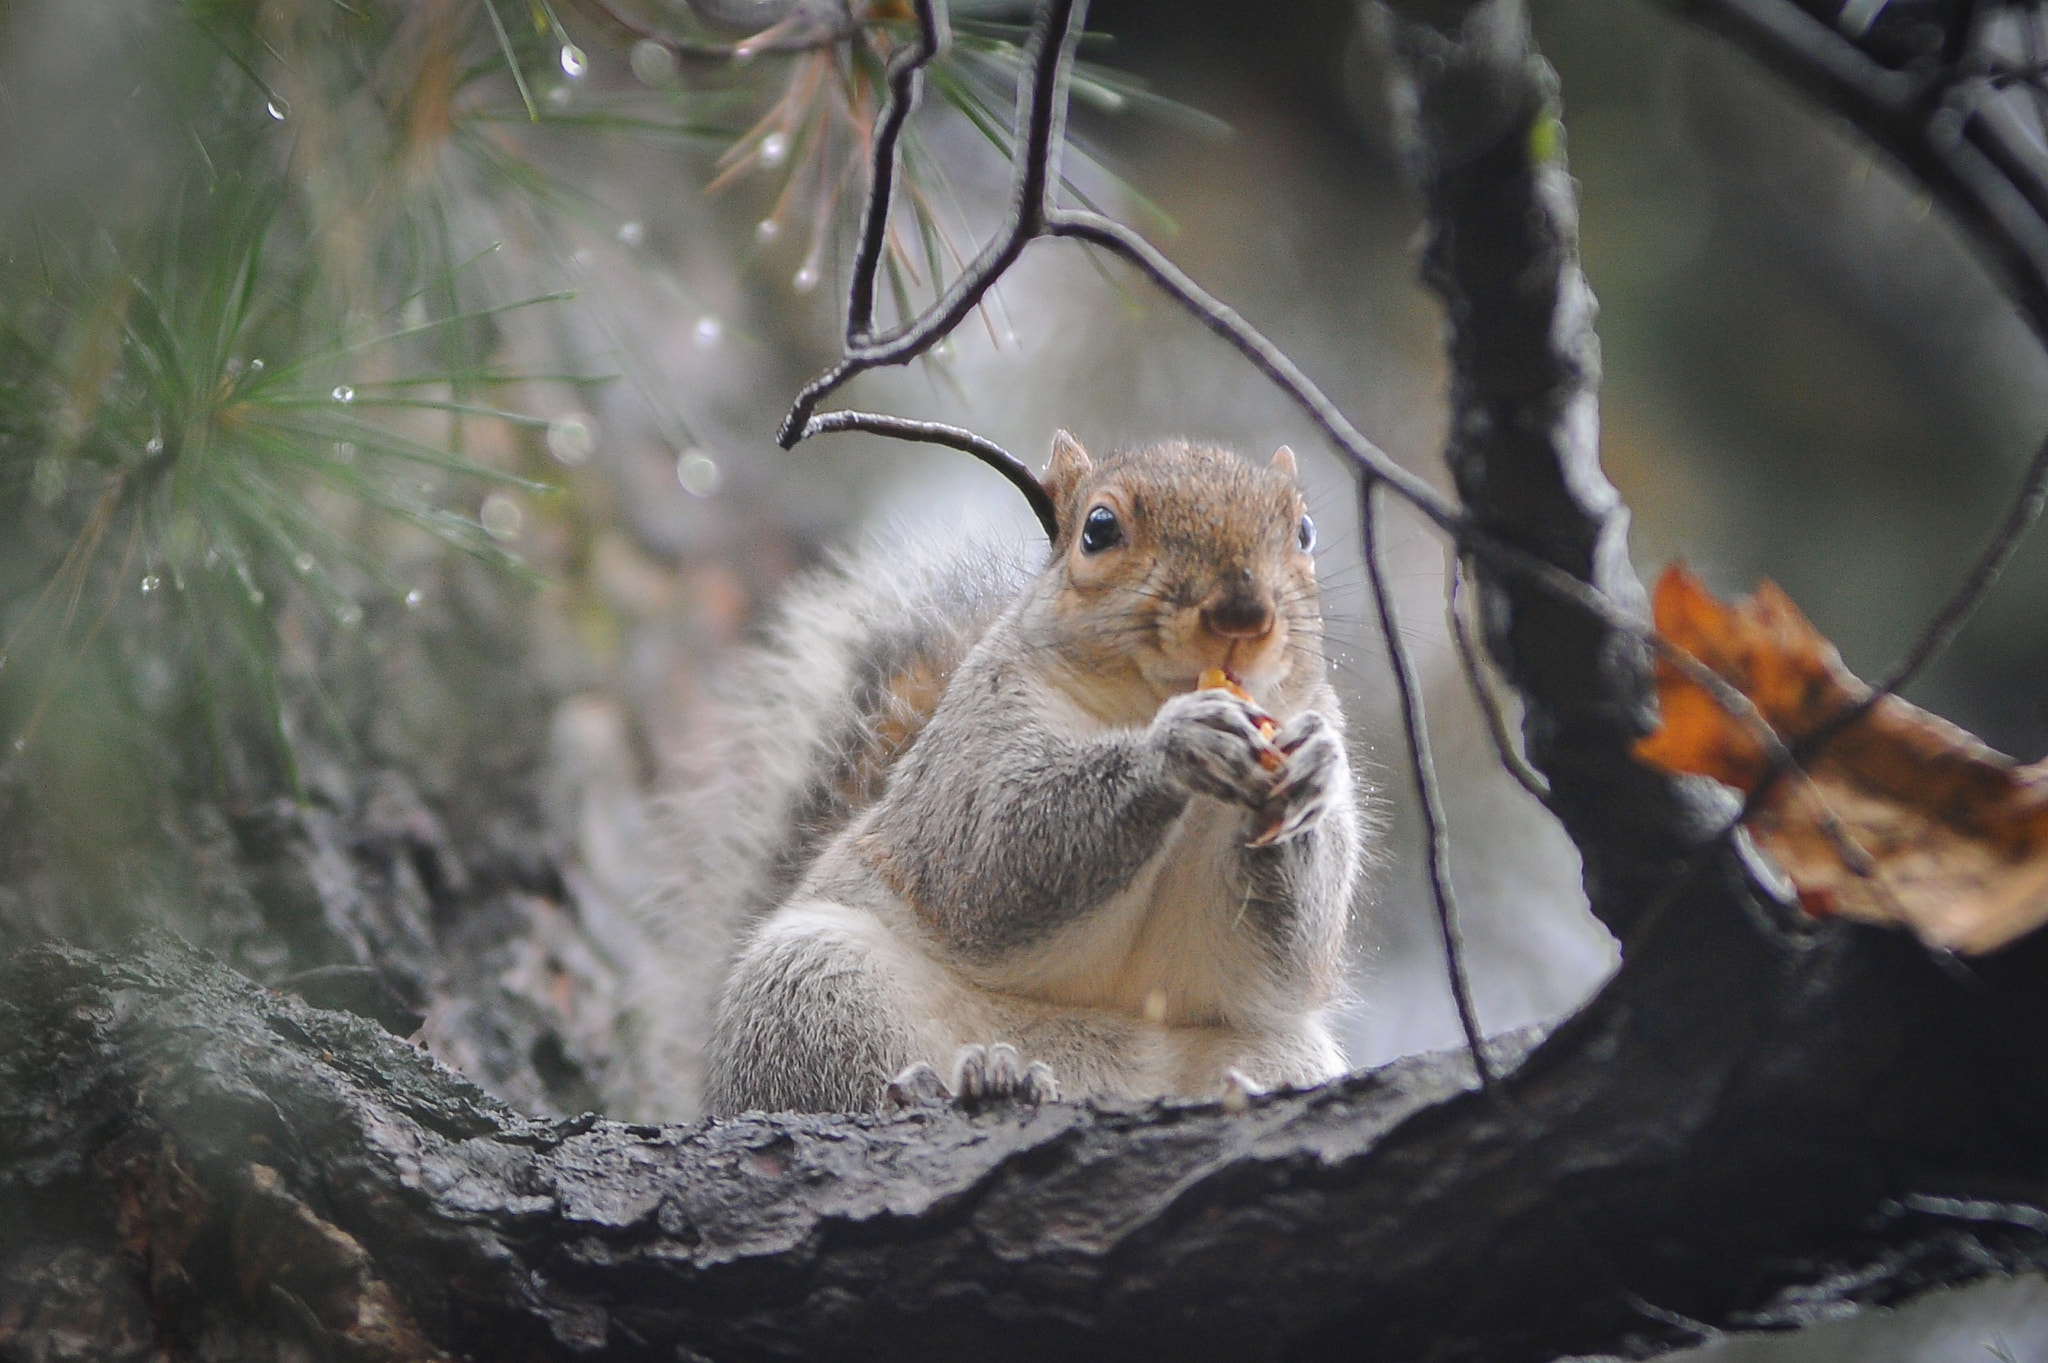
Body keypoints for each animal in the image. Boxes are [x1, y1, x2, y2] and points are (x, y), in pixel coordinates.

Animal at [628, 432, 1364, 1116]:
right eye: (1099, 529)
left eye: (1304, 531)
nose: (1244, 613)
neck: (1142, 701)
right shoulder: (972, 744)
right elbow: (994, 853)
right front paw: (1173, 745)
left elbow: (1290, 951)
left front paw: (1313, 768)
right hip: (809, 990)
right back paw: (960, 1083)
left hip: (1283, 1047)